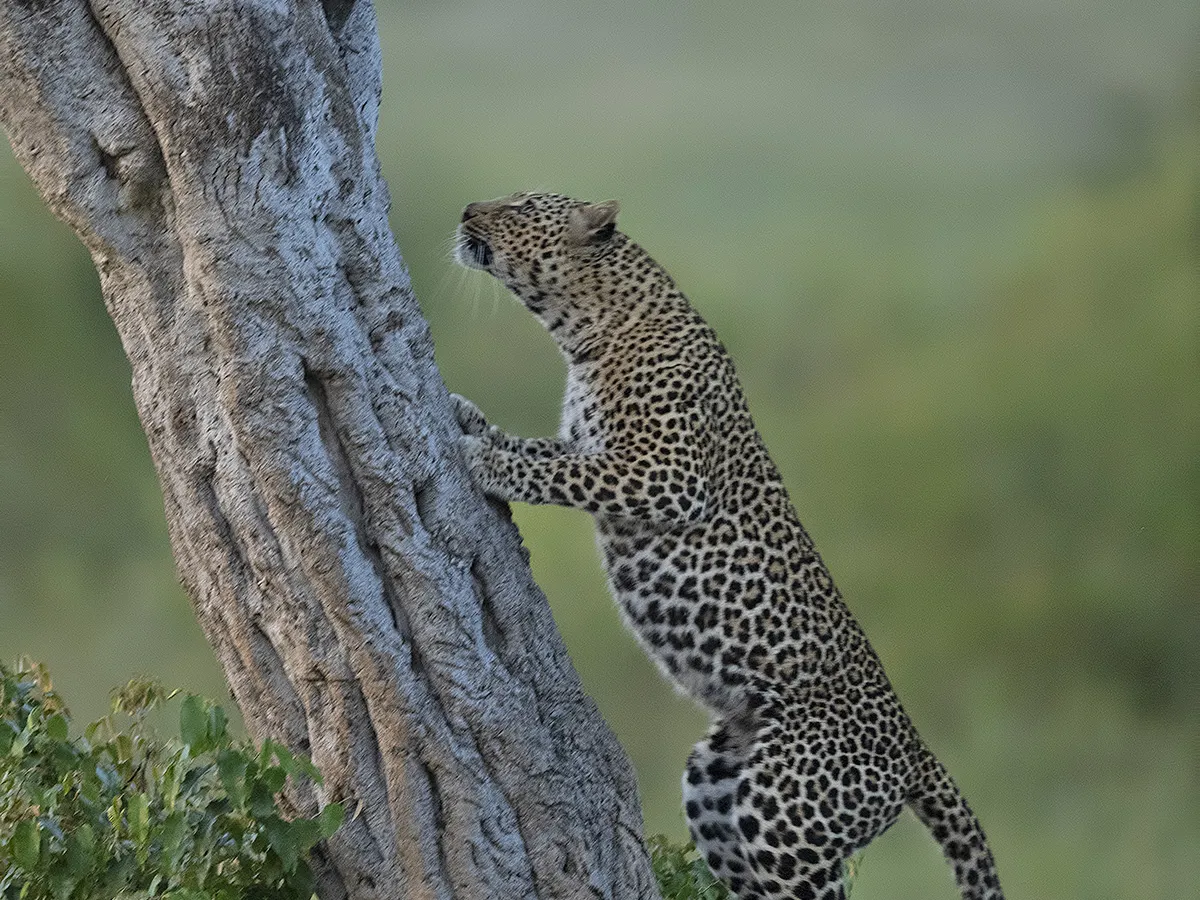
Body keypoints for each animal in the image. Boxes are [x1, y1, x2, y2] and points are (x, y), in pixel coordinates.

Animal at [450, 191, 1004, 900]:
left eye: (520, 206)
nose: (468, 208)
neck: (588, 329)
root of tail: (914, 752)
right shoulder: (589, 445)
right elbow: (545, 452)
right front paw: (470, 419)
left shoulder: (664, 475)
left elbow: (553, 473)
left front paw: (482, 459)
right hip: (715, 787)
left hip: (785, 815)